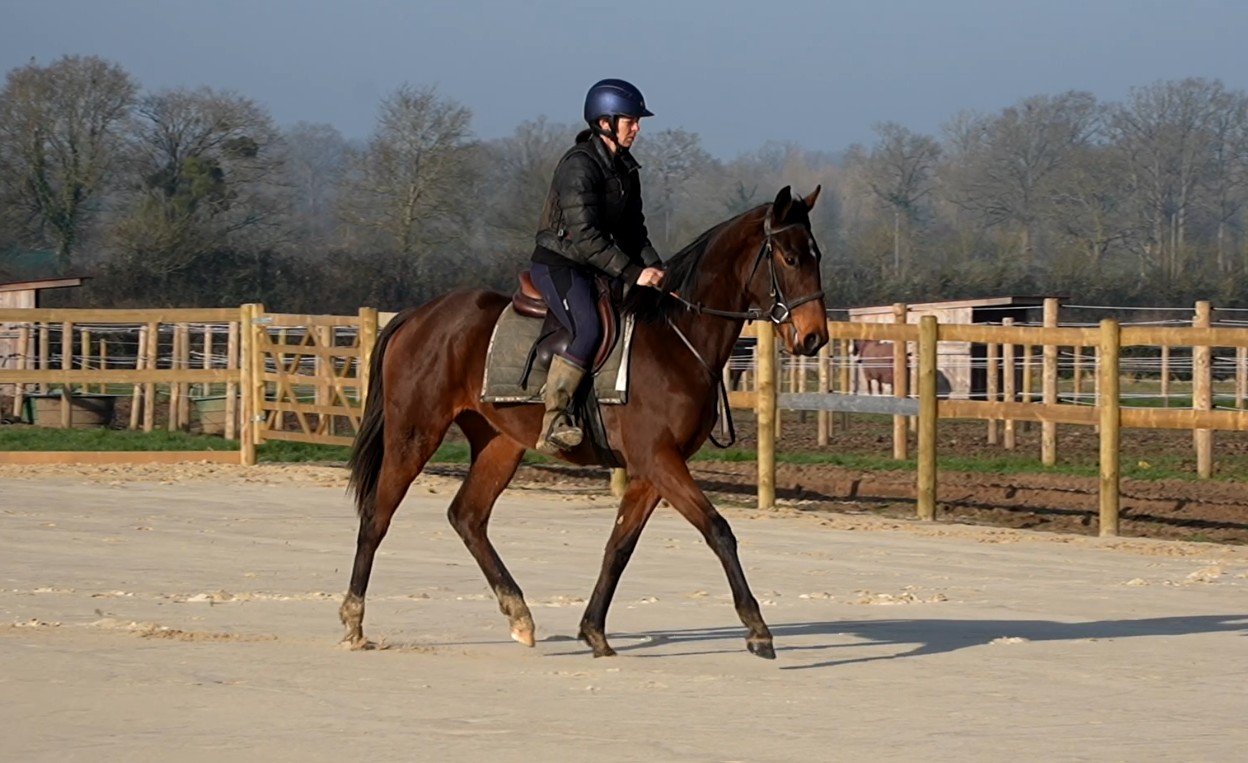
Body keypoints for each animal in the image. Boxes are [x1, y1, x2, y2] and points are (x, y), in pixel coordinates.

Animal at [341, 186, 828, 659]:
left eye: (816, 256)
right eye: (790, 258)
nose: (814, 337)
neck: (676, 338)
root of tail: (418, 315)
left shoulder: (651, 469)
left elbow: (620, 545)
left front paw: (594, 630)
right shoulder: (658, 459)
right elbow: (718, 530)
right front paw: (757, 629)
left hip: (500, 444)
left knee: (468, 516)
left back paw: (519, 614)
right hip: (414, 434)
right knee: (378, 515)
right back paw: (354, 620)